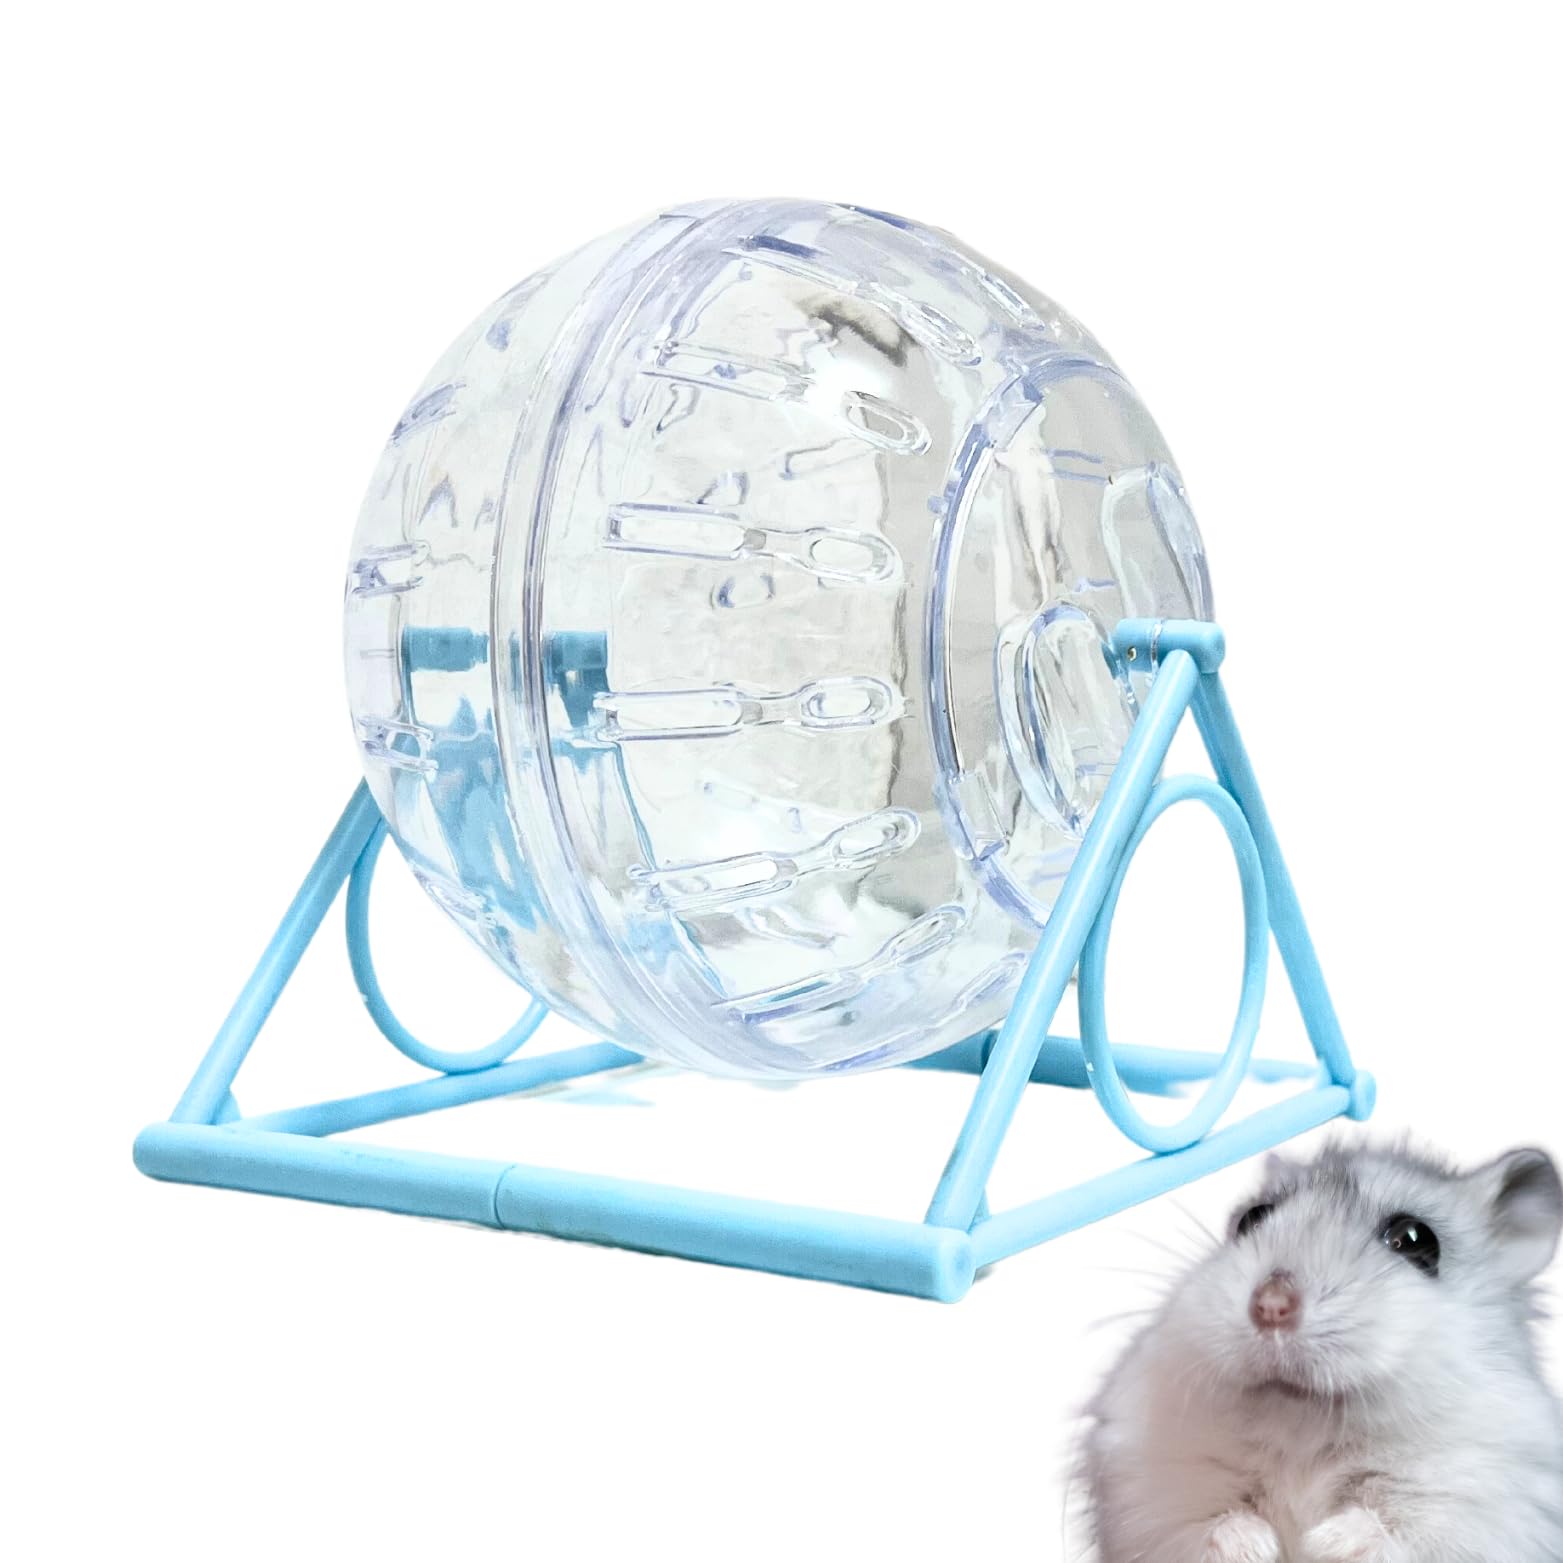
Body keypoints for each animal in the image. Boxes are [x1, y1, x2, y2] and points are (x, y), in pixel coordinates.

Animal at [1084, 1140, 1563, 1562]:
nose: (1271, 1306)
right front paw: (1255, 1545)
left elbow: (1398, 1534)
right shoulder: (1147, 1500)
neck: (1303, 1426)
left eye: (1415, 1240)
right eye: (1251, 1220)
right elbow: (1202, 1529)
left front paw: (1326, 1541)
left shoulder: (1482, 1512)